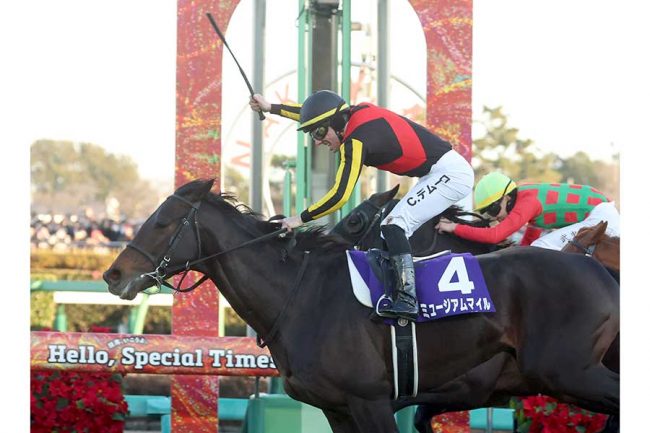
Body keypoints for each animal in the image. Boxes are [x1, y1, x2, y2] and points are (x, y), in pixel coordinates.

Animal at [104, 179, 619, 433]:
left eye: (162, 221)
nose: (113, 275)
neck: (300, 295)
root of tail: (597, 269)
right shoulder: (338, 408)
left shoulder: (372, 400)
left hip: (566, 370)